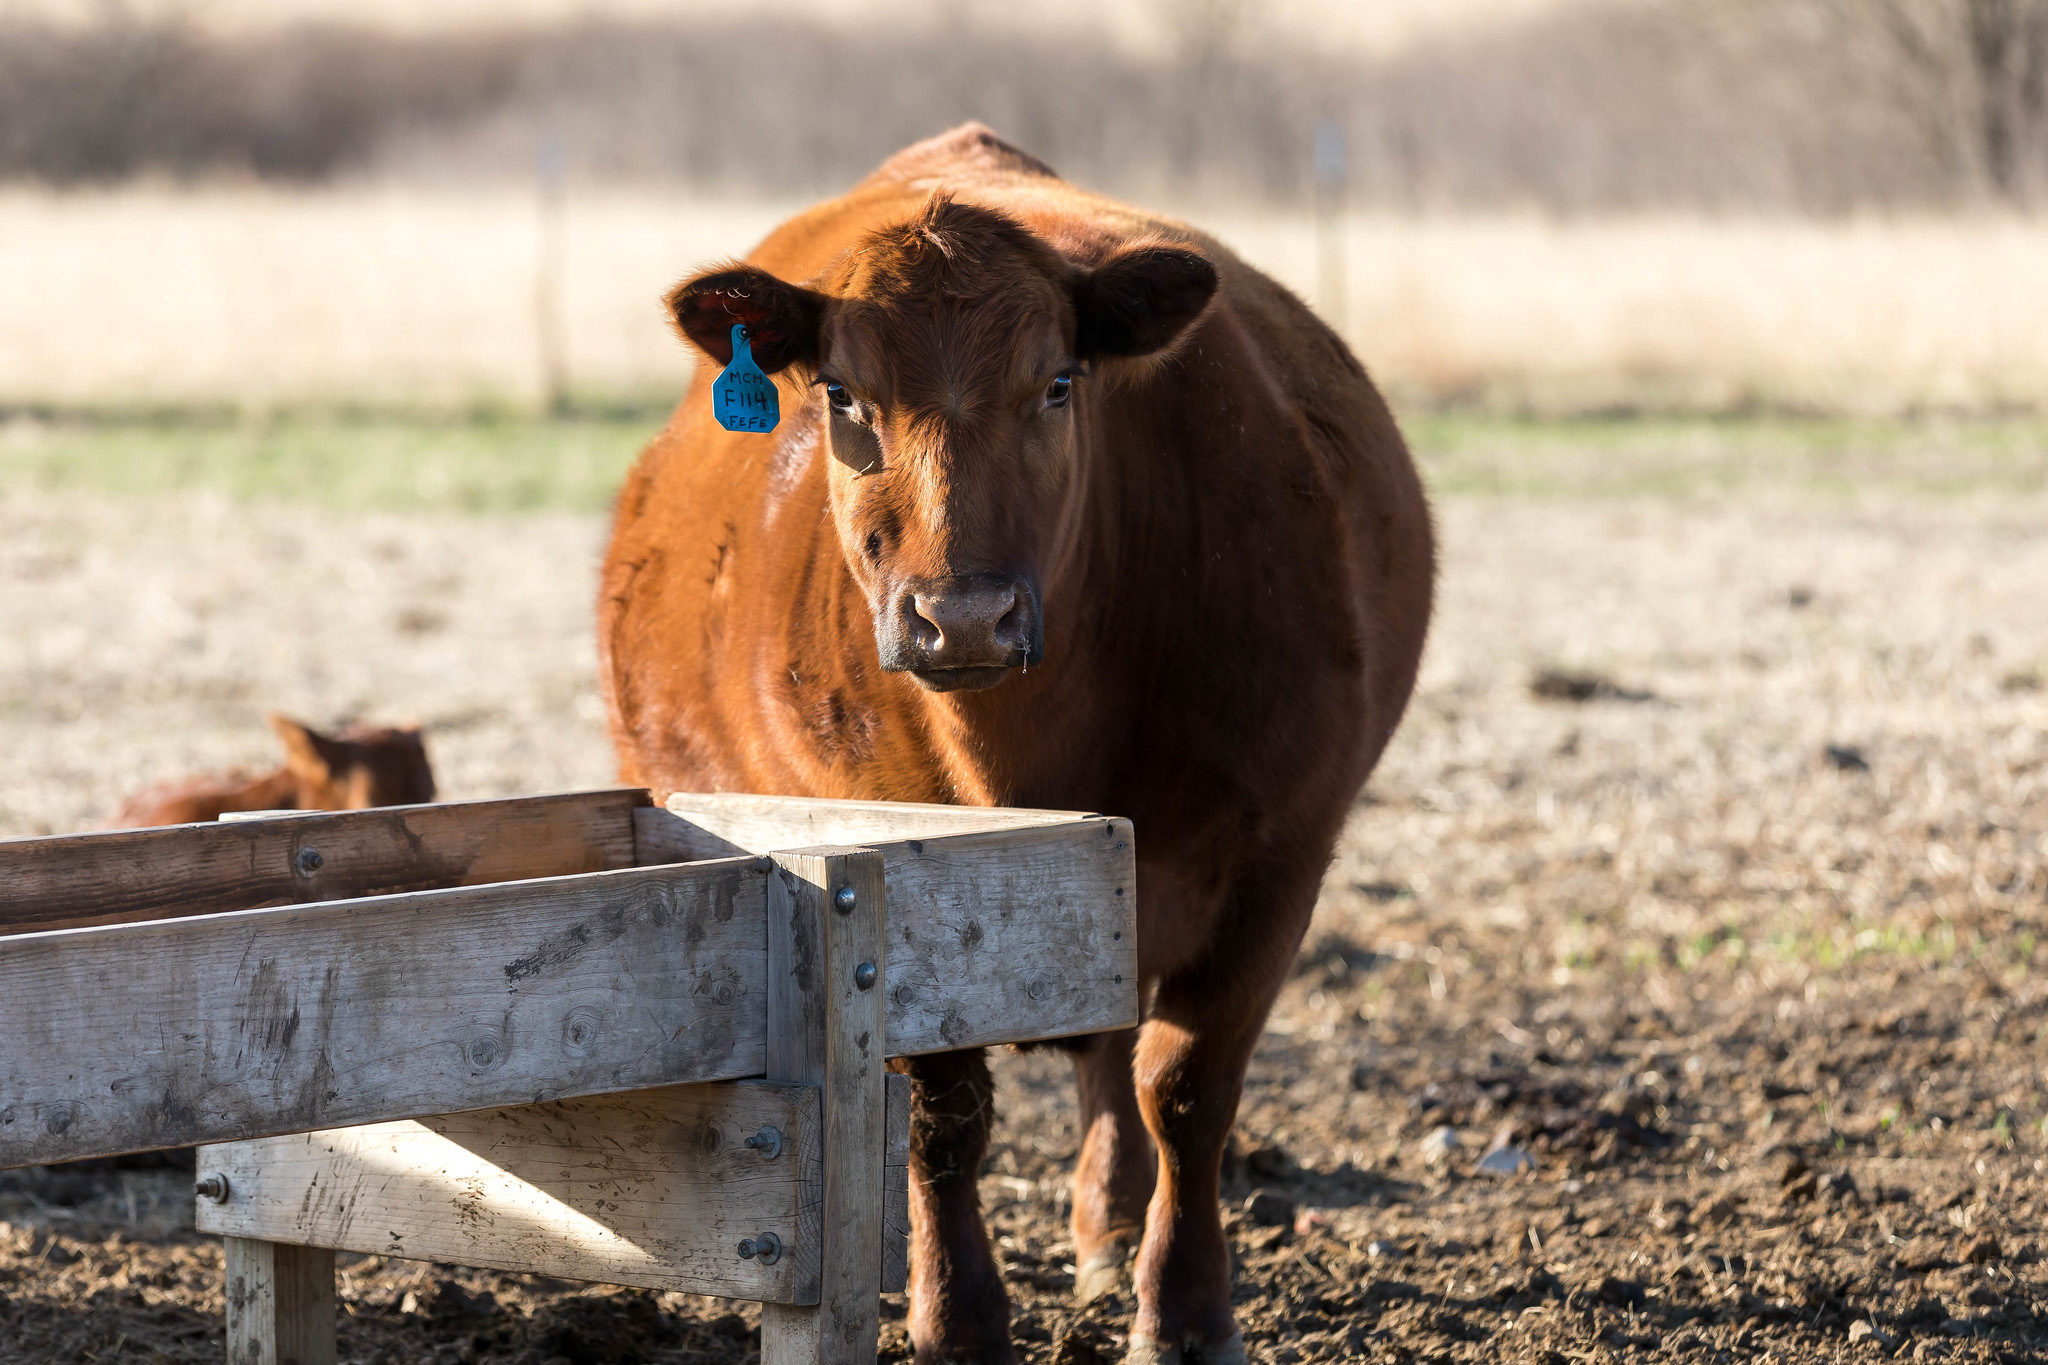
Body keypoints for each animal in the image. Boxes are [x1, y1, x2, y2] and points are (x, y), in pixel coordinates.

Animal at [598, 122, 1433, 1358]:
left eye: (1055, 384)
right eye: (841, 394)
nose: (962, 617)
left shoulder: (1283, 849)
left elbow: (1186, 1088)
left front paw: (1184, 1311)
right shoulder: (895, 876)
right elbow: (943, 1113)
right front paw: (957, 1319)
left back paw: (1109, 1231)